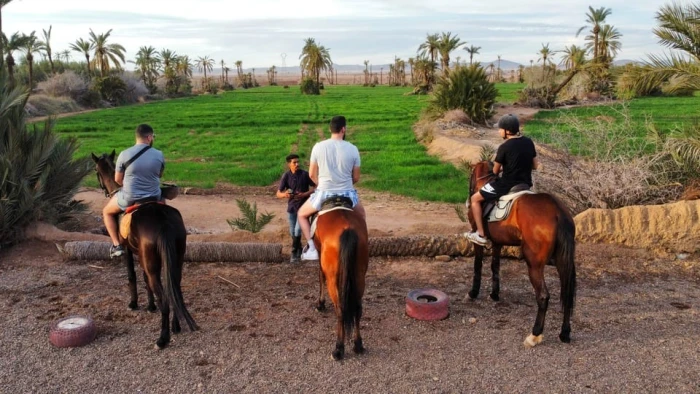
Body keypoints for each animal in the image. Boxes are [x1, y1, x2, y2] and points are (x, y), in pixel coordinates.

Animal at [91, 151, 198, 348]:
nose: (104, 191)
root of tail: (163, 222)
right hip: (175, 260)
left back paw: (163, 338)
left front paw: (134, 304)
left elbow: (132, 276)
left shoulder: (128, 250)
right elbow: (144, 278)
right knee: (174, 290)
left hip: (153, 265)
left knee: (164, 297)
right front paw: (150, 306)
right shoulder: (142, 256)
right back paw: (175, 326)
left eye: (96, 170)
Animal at [312, 205, 366, 362]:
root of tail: (347, 230)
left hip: (333, 279)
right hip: (359, 276)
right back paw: (358, 345)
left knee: (340, 310)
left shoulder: (319, 252)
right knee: (358, 309)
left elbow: (320, 275)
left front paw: (320, 304)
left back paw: (338, 349)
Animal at [468, 162, 576, 346]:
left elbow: (478, 265)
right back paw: (564, 333)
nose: (469, 199)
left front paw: (473, 293)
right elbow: (495, 267)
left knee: (543, 296)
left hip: (534, 265)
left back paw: (535, 334)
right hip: (563, 262)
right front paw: (494, 294)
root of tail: (557, 212)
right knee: (567, 294)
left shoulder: (479, 241)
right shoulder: (498, 243)